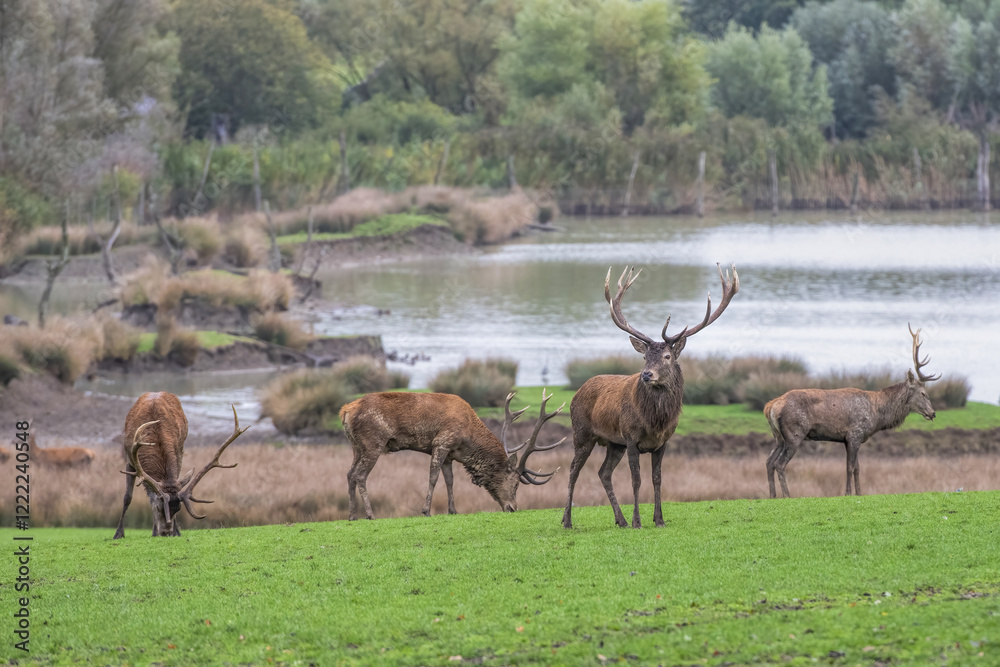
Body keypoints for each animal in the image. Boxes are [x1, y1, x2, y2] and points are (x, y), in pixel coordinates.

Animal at [113, 392, 248, 539]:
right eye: (158, 508)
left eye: (178, 509)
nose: (166, 532)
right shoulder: (129, 459)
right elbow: (128, 497)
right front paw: (118, 533)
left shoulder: (177, 454)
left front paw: (175, 531)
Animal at [340, 388, 564, 519]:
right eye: (516, 483)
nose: (512, 508)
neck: (467, 436)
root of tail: (345, 411)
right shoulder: (442, 441)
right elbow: (433, 477)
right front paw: (426, 511)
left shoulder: (449, 454)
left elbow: (450, 480)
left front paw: (453, 510)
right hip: (373, 443)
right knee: (360, 475)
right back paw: (369, 514)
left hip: (356, 446)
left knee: (350, 474)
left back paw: (352, 515)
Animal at [563, 264, 740, 529]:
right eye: (645, 357)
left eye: (667, 356)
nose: (646, 375)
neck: (655, 421)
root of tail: (577, 392)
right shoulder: (631, 438)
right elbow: (636, 480)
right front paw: (638, 520)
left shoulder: (663, 442)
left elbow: (657, 478)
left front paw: (659, 519)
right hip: (583, 433)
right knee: (573, 470)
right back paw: (567, 521)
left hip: (613, 443)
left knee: (603, 473)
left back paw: (620, 520)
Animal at [764, 324, 939, 499]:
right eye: (923, 393)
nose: (933, 413)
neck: (877, 415)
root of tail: (770, 407)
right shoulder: (855, 434)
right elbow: (849, 467)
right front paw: (848, 493)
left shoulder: (850, 439)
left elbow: (857, 468)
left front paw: (859, 493)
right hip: (795, 433)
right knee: (779, 464)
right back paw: (787, 495)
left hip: (779, 437)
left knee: (769, 461)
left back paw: (772, 495)